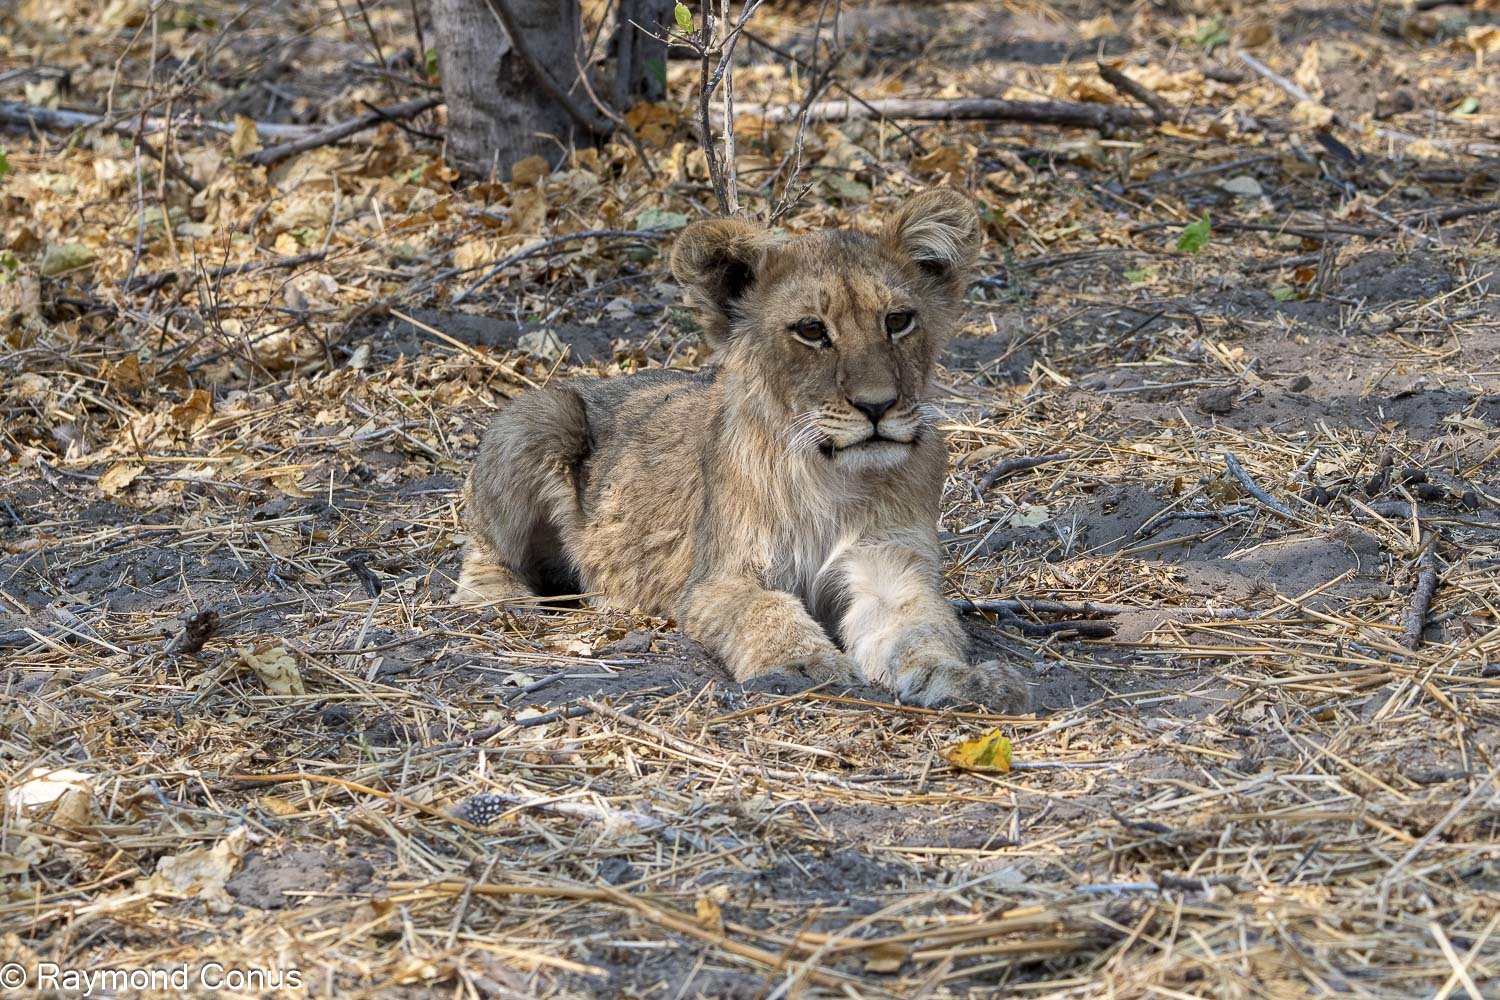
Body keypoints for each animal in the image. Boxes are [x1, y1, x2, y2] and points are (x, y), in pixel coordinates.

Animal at [454, 189, 1029, 711]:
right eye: (812, 330)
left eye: (898, 321)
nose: (877, 406)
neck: (834, 477)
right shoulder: (717, 579)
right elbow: (766, 612)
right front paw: (805, 665)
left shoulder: (888, 566)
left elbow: (921, 629)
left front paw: (961, 678)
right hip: (542, 414)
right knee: (483, 546)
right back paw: (500, 601)